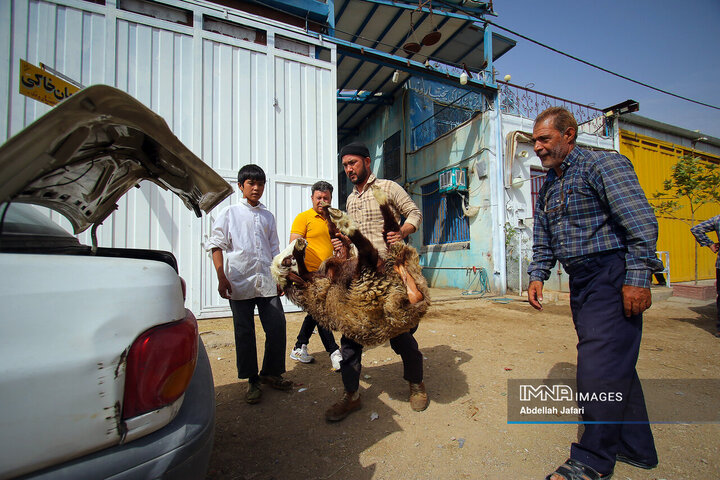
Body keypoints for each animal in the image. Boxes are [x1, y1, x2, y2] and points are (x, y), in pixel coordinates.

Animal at [268, 187, 428, 344]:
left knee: (388, 234)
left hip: (393, 261)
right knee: (367, 249)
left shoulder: (335, 263)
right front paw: (300, 248)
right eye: (286, 260)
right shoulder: (315, 282)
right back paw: (348, 221)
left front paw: (326, 211)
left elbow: (335, 237)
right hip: (367, 278)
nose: (299, 242)